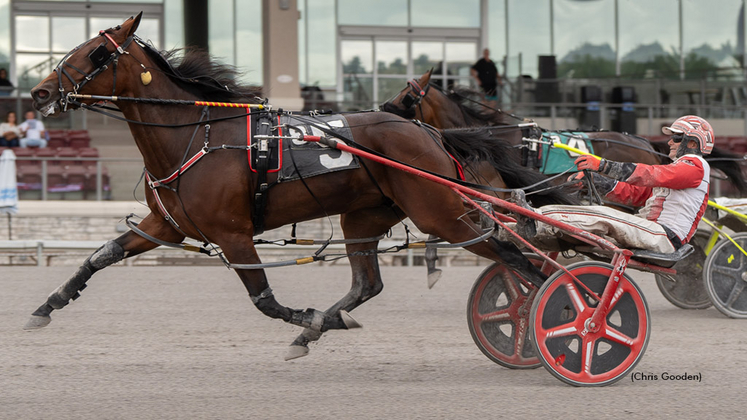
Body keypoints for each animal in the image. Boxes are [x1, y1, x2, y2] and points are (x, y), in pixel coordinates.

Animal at [23, 14, 576, 360]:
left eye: (96, 52)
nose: (40, 93)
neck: (197, 135)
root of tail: (428, 132)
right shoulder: (166, 225)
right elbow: (100, 256)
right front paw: (46, 307)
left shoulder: (233, 234)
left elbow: (264, 301)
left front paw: (307, 317)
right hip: (365, 216)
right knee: (368, 284)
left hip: (442, 214)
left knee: (520, 258)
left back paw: (561, 311)